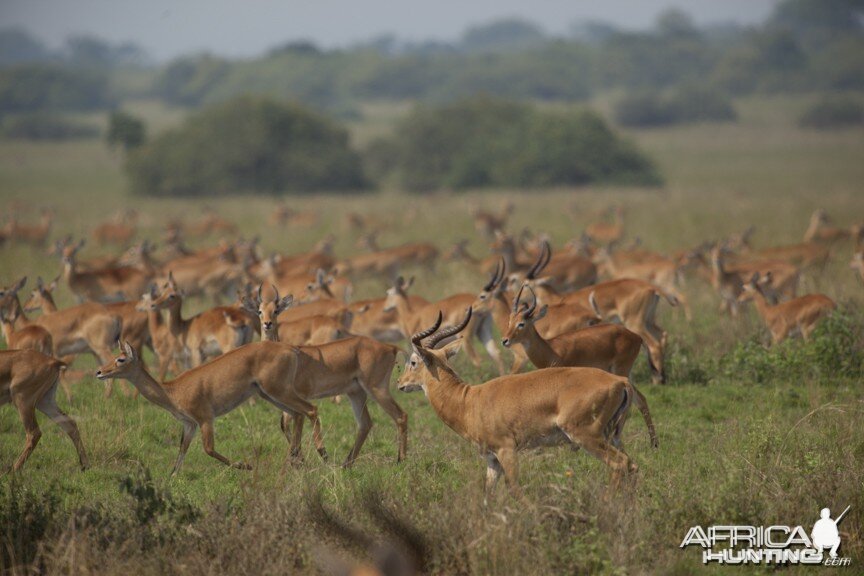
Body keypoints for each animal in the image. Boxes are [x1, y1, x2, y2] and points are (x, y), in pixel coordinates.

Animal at [400, 310, 640, 500]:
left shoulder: (506, 450)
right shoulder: (492, 460)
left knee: (620, 464)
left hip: (587, 436)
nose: (400, 383)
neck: (468, 401)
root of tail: (620, 381)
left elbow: (514, 489)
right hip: (612, 436)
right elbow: (488, 494)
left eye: (413, 361)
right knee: (632, 464)